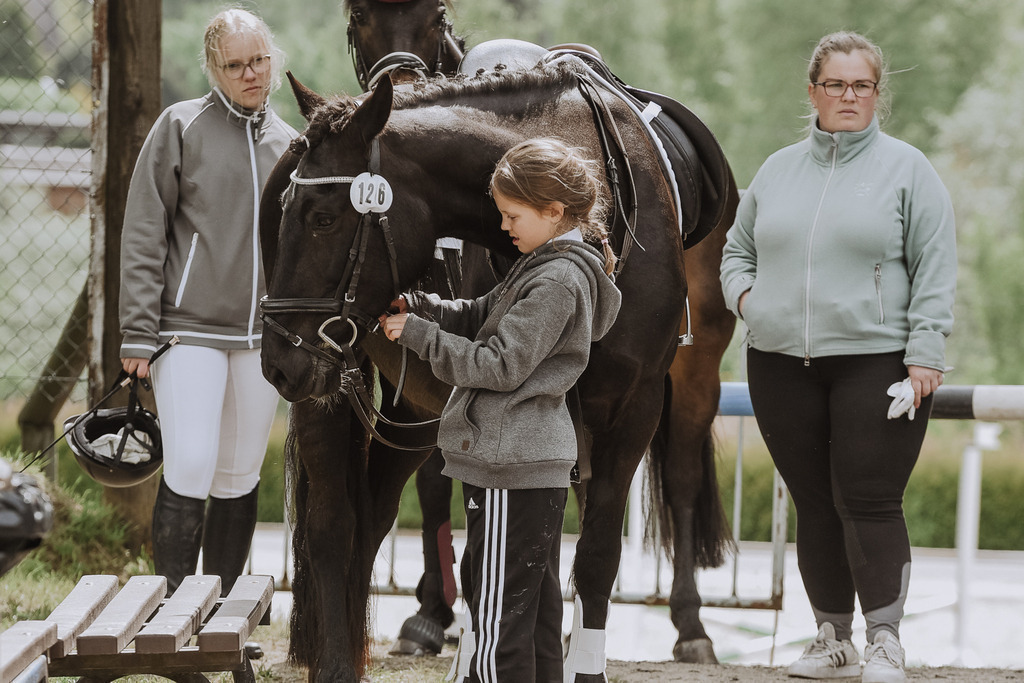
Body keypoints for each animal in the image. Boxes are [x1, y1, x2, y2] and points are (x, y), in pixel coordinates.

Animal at [259, 58, 735, 682]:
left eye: (322, 218)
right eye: (283, 214)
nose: (277, 361)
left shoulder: (632, 410)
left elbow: (592, 558)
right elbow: (501, 563)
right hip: (339, 396)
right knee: (334, 526)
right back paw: (339, 664)